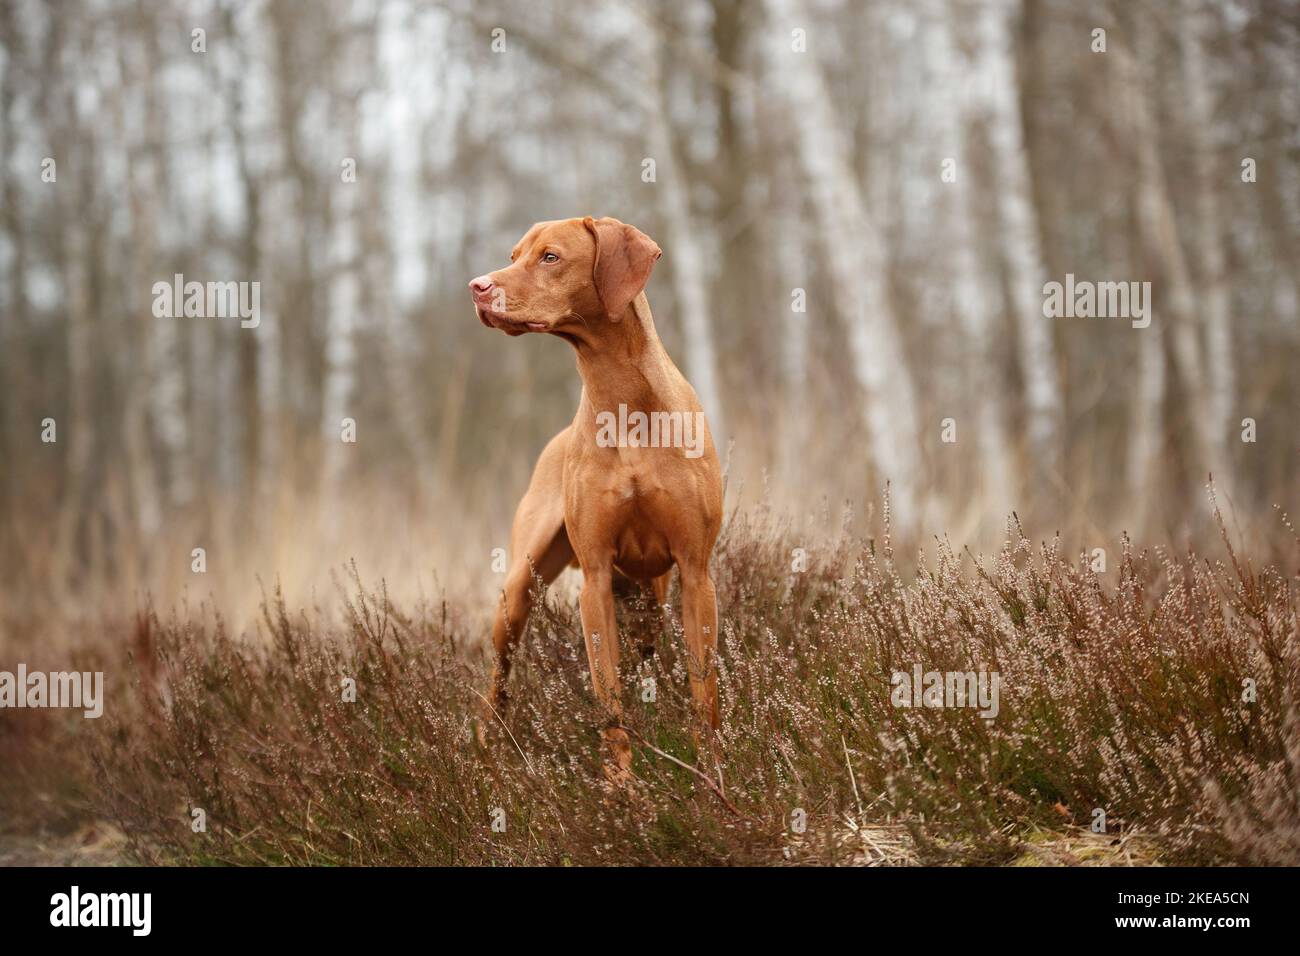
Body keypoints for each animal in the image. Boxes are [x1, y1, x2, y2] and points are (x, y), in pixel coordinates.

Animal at [473, 214, 728, 780]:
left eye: (550, 257)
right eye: (514, 254)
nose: (477, 287)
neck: (624, 402)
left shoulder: (696, 572)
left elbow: (704, 692)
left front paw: (714, 778)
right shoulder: (593, 581)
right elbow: (609, 701)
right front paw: (622, 788)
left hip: (648, 602)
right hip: (517, 594)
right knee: (496, 684)